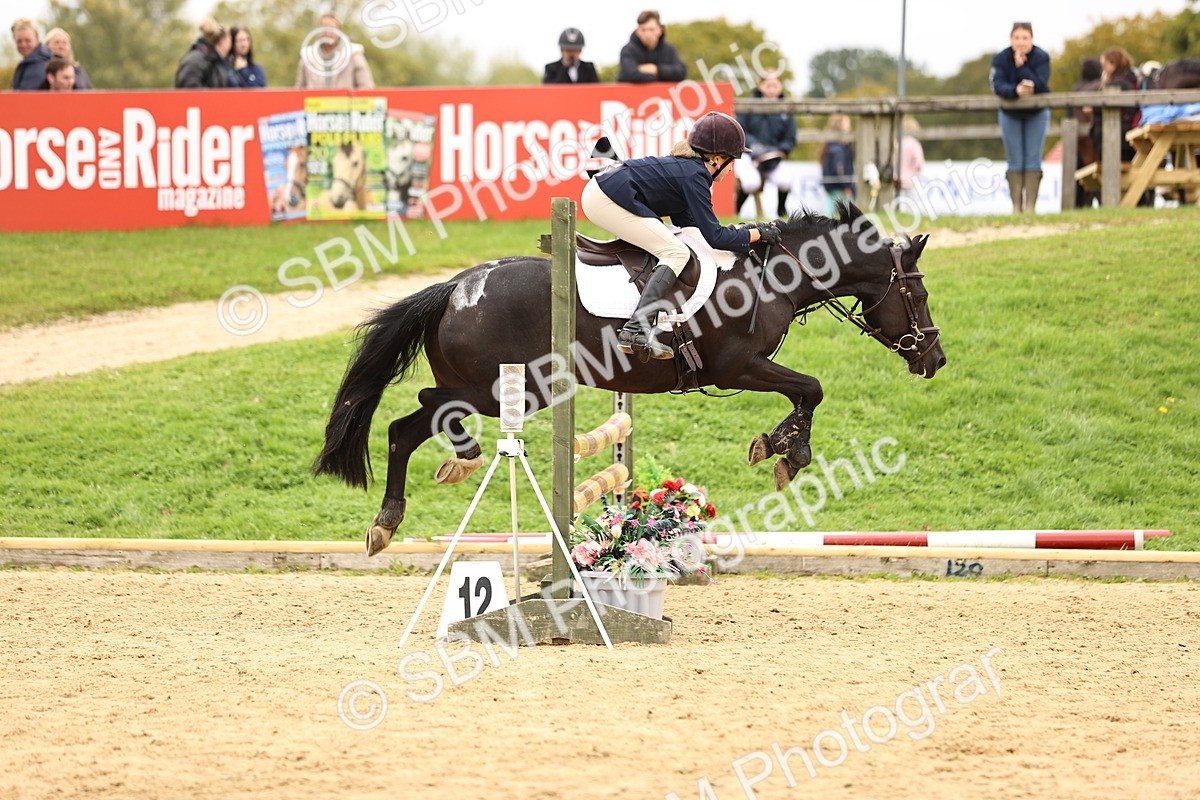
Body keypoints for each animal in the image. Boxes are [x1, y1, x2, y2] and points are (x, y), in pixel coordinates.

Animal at [312, 203, 946, 555]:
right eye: (917, 295)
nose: (935, 360)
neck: (773, 275)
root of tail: (455, 288)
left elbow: (806, 391)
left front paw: (776, 446)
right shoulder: (738, 366)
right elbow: (811, 388)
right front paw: (787, 452)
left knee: (405, 426)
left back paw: (391, 519)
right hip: (504, 390)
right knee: (423, 408)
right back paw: (451, 466)